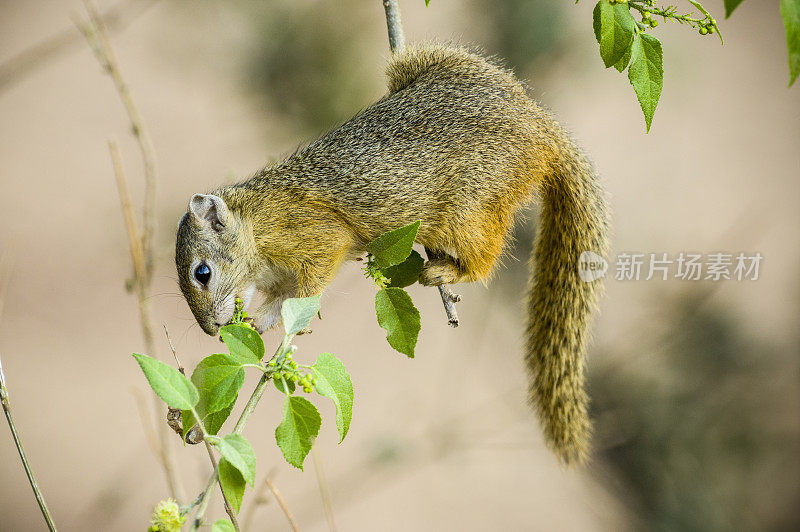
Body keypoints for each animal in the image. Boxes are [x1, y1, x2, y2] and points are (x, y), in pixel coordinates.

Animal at [177, 43, 608, 464]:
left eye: (202, 272)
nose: (212, 330)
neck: (254, 222)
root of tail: (539, 127)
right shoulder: (280, 276)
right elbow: (280, 301)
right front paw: (256, 323)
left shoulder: (315, 237)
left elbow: (308, 287)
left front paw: (289, 324)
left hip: (466, 207)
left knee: (485, 257)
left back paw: (447, 272)